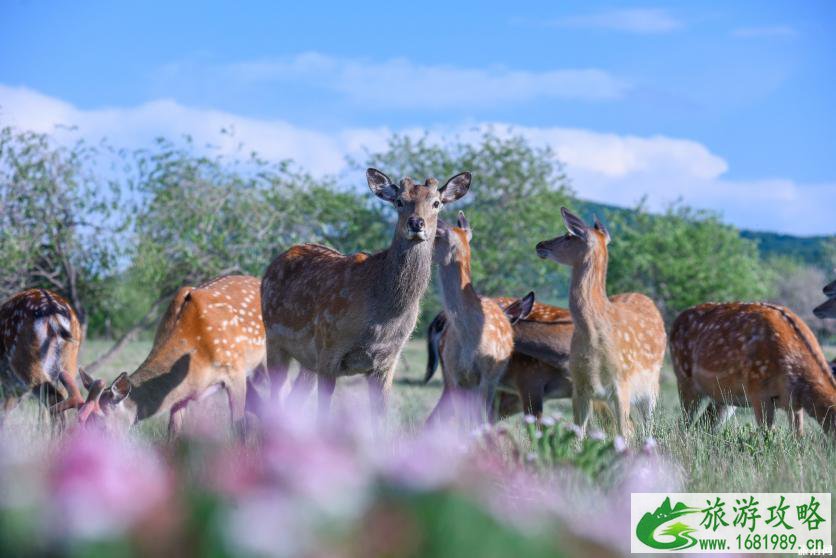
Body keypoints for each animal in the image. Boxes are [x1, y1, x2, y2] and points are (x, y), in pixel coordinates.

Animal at [77, 276, 264, 438]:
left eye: (101, 425)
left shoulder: (235, 371)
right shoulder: (181, 393)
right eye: (80, 419)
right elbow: (173, 433)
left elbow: (239, 429)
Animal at [262, 170, 470, 424]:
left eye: (436, 203)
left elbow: (380, 422)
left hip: (307, 360)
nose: (416, 223)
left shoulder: (387, 361)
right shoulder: (328, 349)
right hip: (274, 340)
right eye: (399, 201)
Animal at [536, 208, 668, 440]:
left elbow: (623, 433)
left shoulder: (622, 383)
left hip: (652, 386)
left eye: (568, 235)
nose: (540, 244)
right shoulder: (580, 386)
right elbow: (578, 434)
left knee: (645, 426)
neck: (594, 333)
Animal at [668, 302, 836, 438]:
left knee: (704, 424)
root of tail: (675, 321)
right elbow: (766, 435)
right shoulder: (758, 392)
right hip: (684, 379)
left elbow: (798, 436)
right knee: (684, 423)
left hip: (724, 398)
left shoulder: (793, 403)